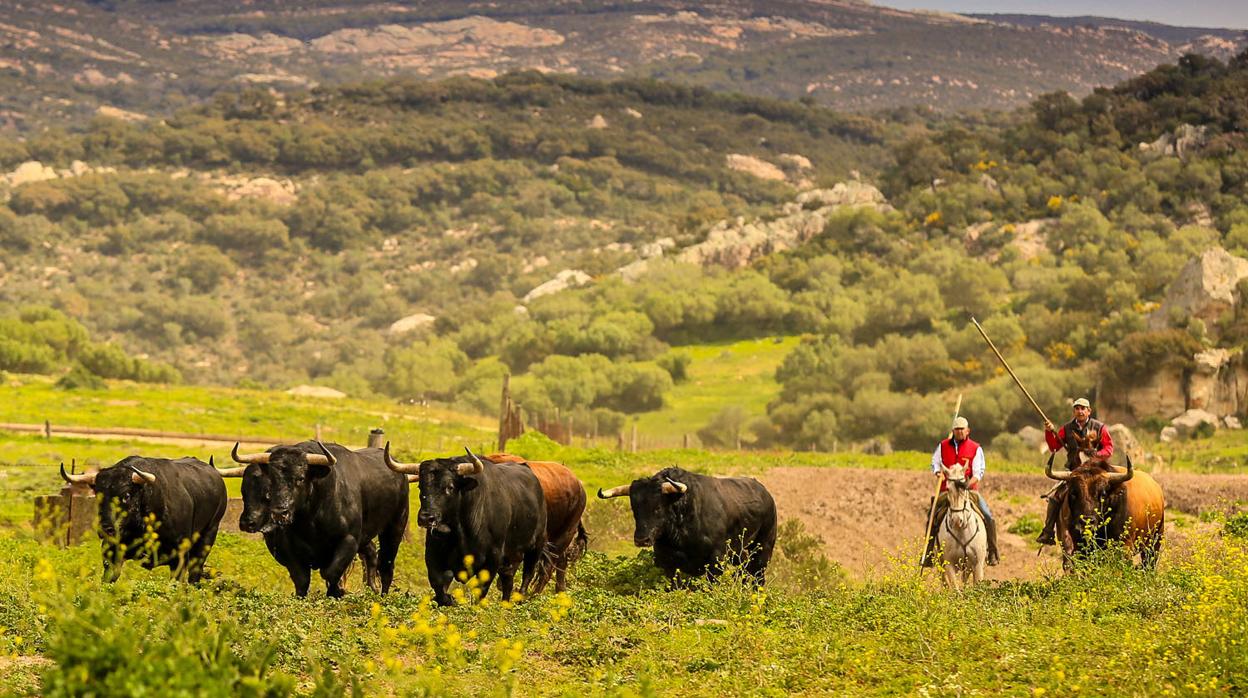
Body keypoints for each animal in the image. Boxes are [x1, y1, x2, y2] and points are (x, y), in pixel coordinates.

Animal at [59, 454, 225, 584]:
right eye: (98, 495)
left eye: (126, 495)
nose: (106, 529)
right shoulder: (111, 555)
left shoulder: (180, 557)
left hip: (208, 535)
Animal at [227, 444, 411, 599]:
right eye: (271, 480)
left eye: (300, 478)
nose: (280, 512)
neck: (312, 519)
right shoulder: (289, 551)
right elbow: (302, 580)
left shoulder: (349, 540)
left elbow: (330, 573)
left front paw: (338, 592)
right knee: (372, 554)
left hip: (395, 527)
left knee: (386, 565)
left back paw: (382, 596)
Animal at [596, 469, 778, 584]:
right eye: (635, 508)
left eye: (658, 507)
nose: (641, 539)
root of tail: (765, 493)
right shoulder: (667, 562)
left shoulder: (716, 560)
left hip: (764, 549)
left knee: (757, 576)